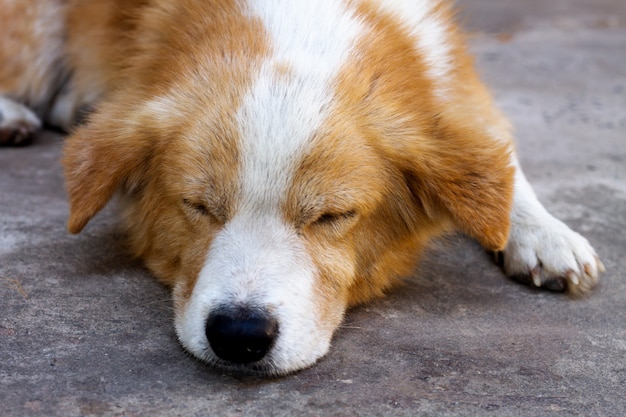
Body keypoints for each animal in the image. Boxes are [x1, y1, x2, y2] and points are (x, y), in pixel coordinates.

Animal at [1, 0, 604, 376]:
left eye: (332, 216)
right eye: (199, 206)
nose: (239, 335)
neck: (304, 29)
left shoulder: (458, 87)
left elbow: (498, 161)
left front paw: (546, 235)